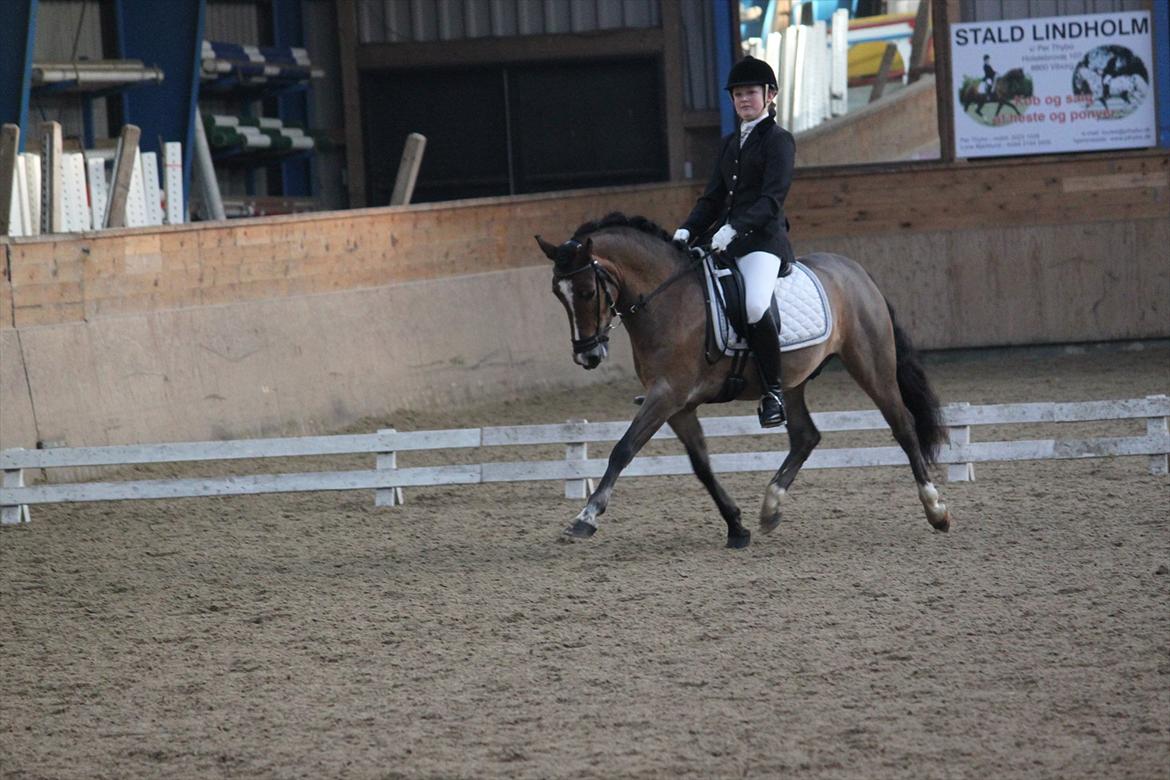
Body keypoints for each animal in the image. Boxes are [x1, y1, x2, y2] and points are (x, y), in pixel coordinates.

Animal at [535, 213, 952, 548]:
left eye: (587, 291)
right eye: (558, 294)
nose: (587, 356)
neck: (670, 300)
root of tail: (856, 272)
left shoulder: (666, 395)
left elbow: (623, 450)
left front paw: (585, 519)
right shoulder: (678, 404)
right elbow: (701, 465)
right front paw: (736, 526)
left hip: (871, 364)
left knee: (903, 426)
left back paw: (936, 510)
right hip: (792, 380)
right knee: (806, 437)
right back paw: (770, 507)